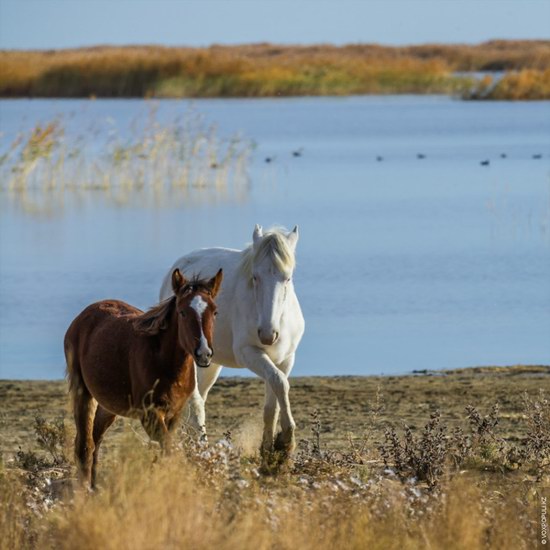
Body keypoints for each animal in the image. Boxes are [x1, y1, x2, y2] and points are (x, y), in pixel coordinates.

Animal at [66, 270, 224, 490]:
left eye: (215, 312)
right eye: (182, 312)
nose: (204, 354)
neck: (164, 362)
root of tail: (81, 318)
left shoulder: (174, 414)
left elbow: (166, 452)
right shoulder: (150, 414)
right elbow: (170, 451)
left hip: (108, 405)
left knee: (96, 439)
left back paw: (95, 487)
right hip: (83, 393)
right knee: (84, 445)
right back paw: (84, 490)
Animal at [160, 225, 306, 462]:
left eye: (288, 278)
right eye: (255, 277)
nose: (267, 334)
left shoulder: (285, 358)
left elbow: (273, 400)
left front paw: (269, 450)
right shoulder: (249, 353)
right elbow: (280, 382)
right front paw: (285, 442)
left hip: (210, 364)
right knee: (196, 402)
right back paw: (200, 447)